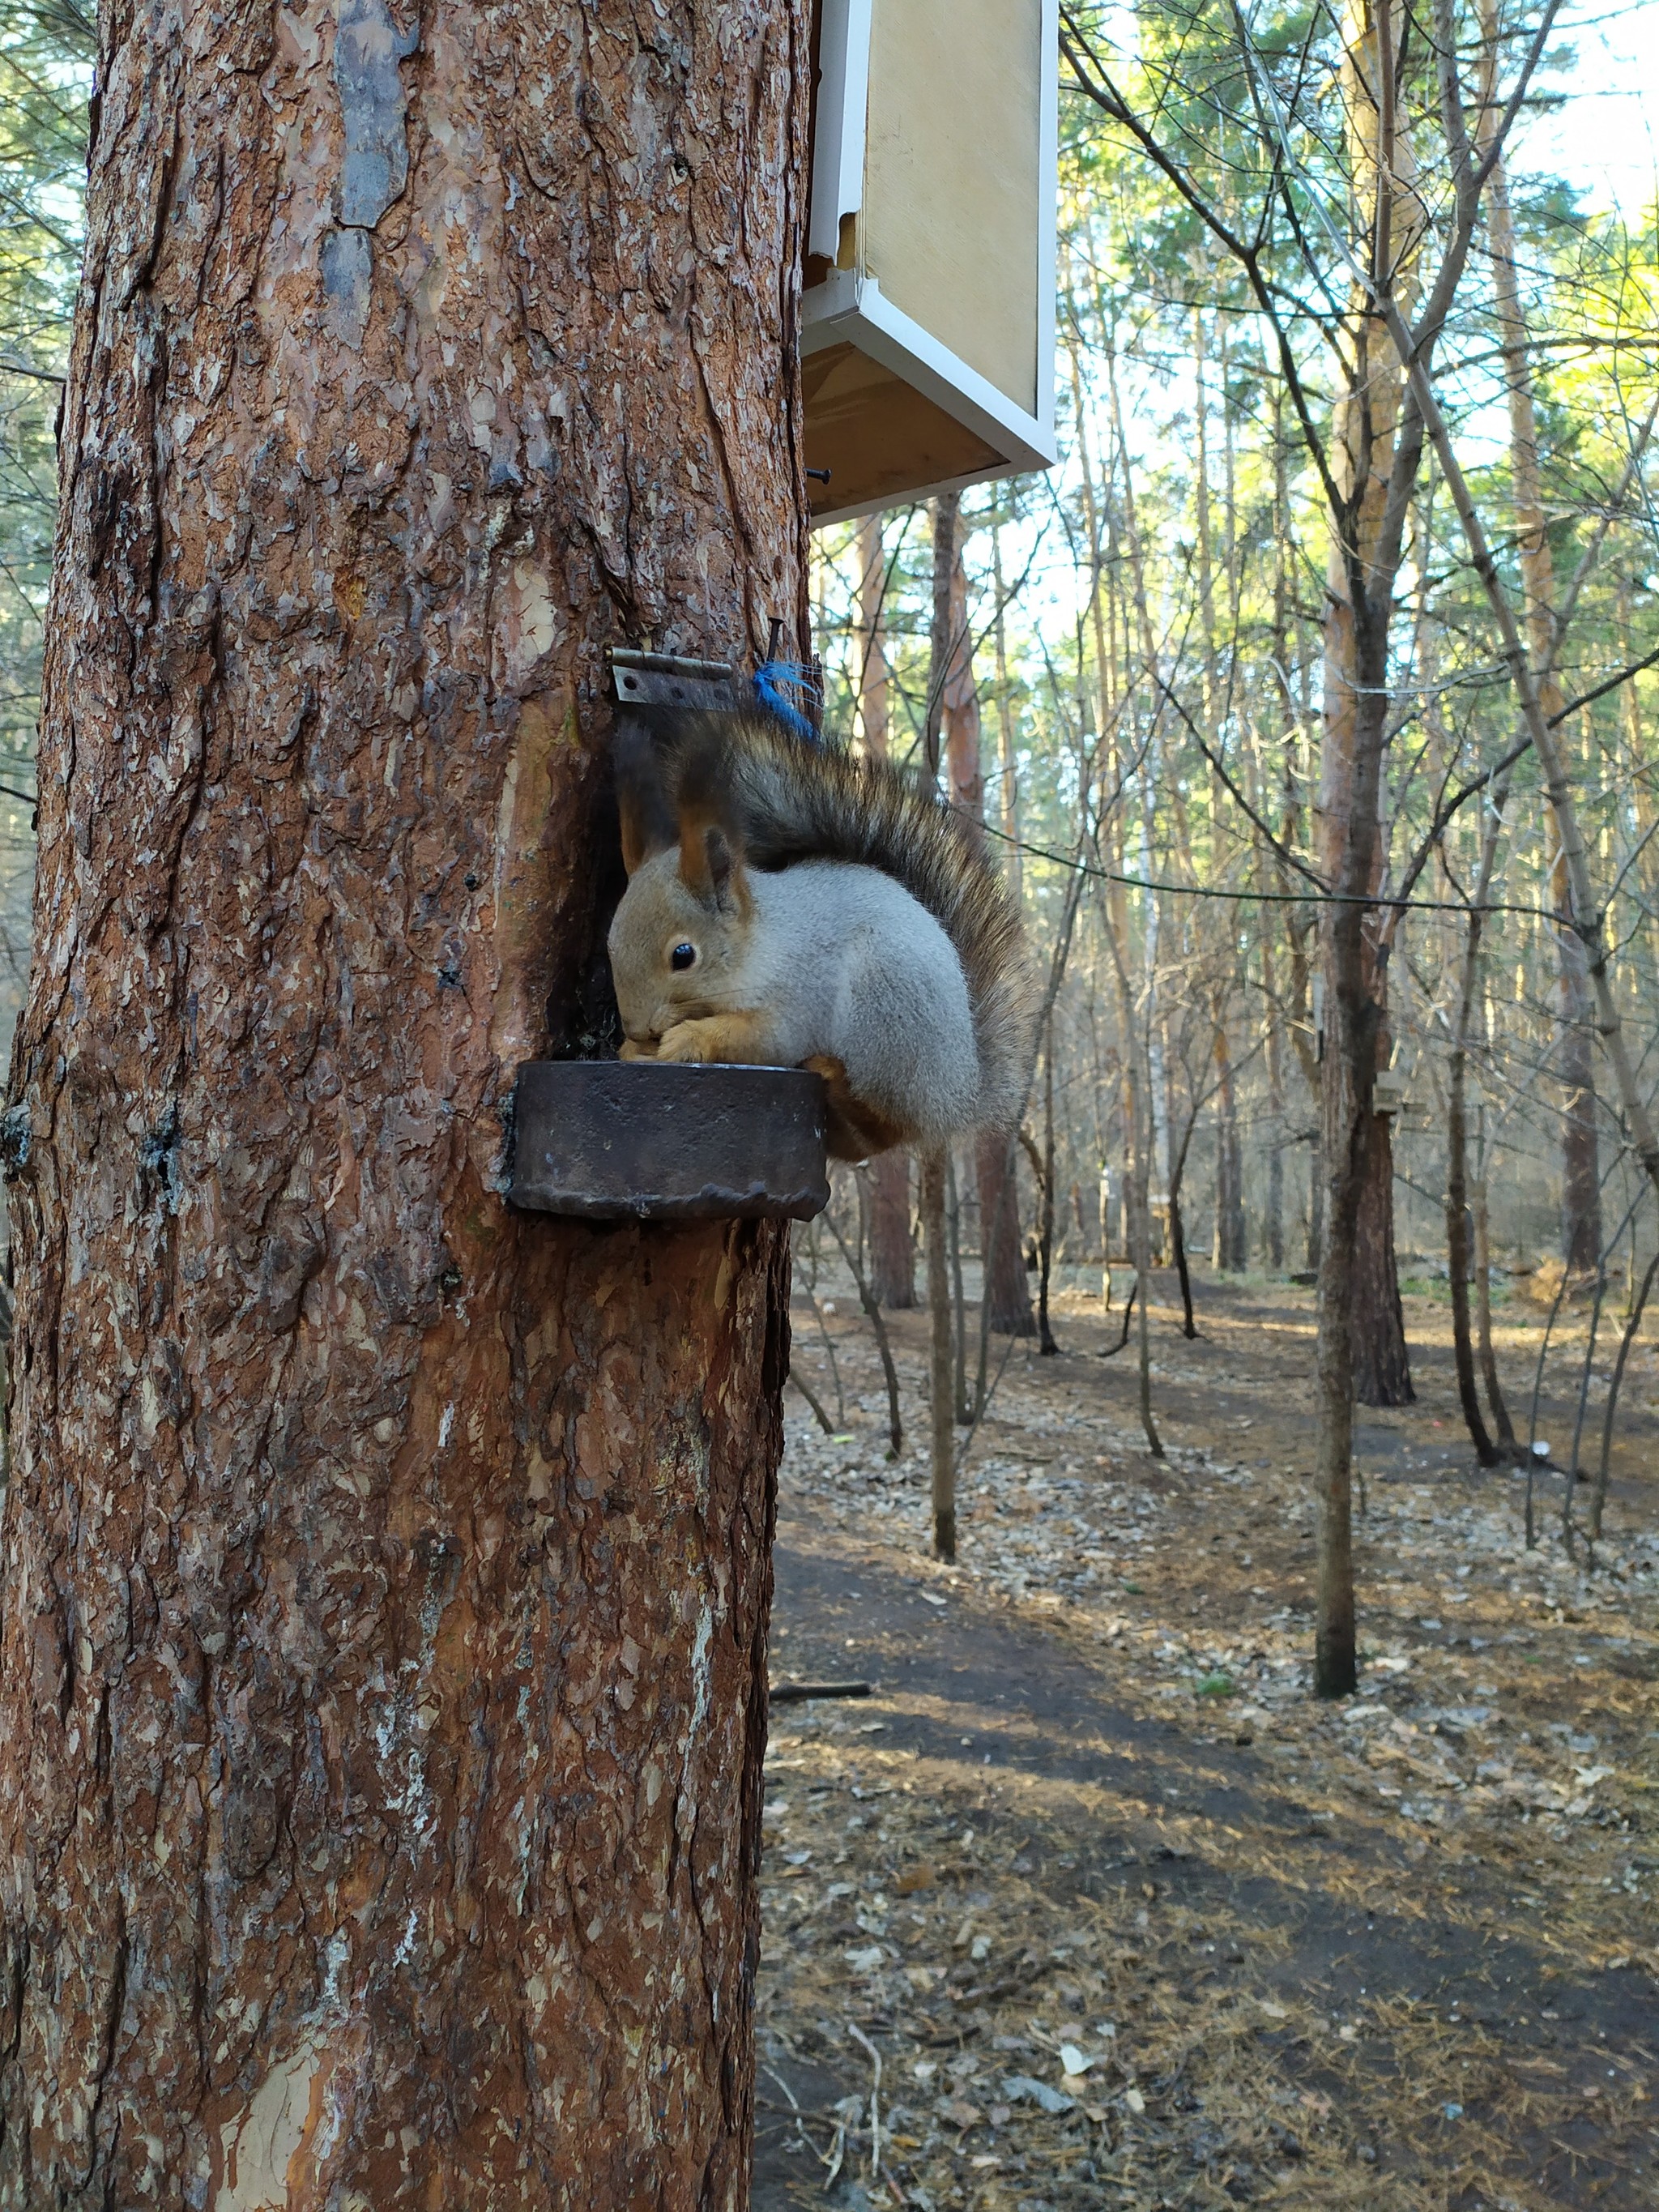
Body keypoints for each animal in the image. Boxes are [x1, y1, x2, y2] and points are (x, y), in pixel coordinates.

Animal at [606, 712, 1043, 1168]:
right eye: (611, 942)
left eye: (683, 955)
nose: (637, 1028)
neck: (761, 947)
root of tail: (964, 1091)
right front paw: (632, 1050)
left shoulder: (800, 999)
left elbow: (761, 1039)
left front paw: (690, 1039)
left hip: (886, 1018)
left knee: (890, 1124)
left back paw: (839, 1082)